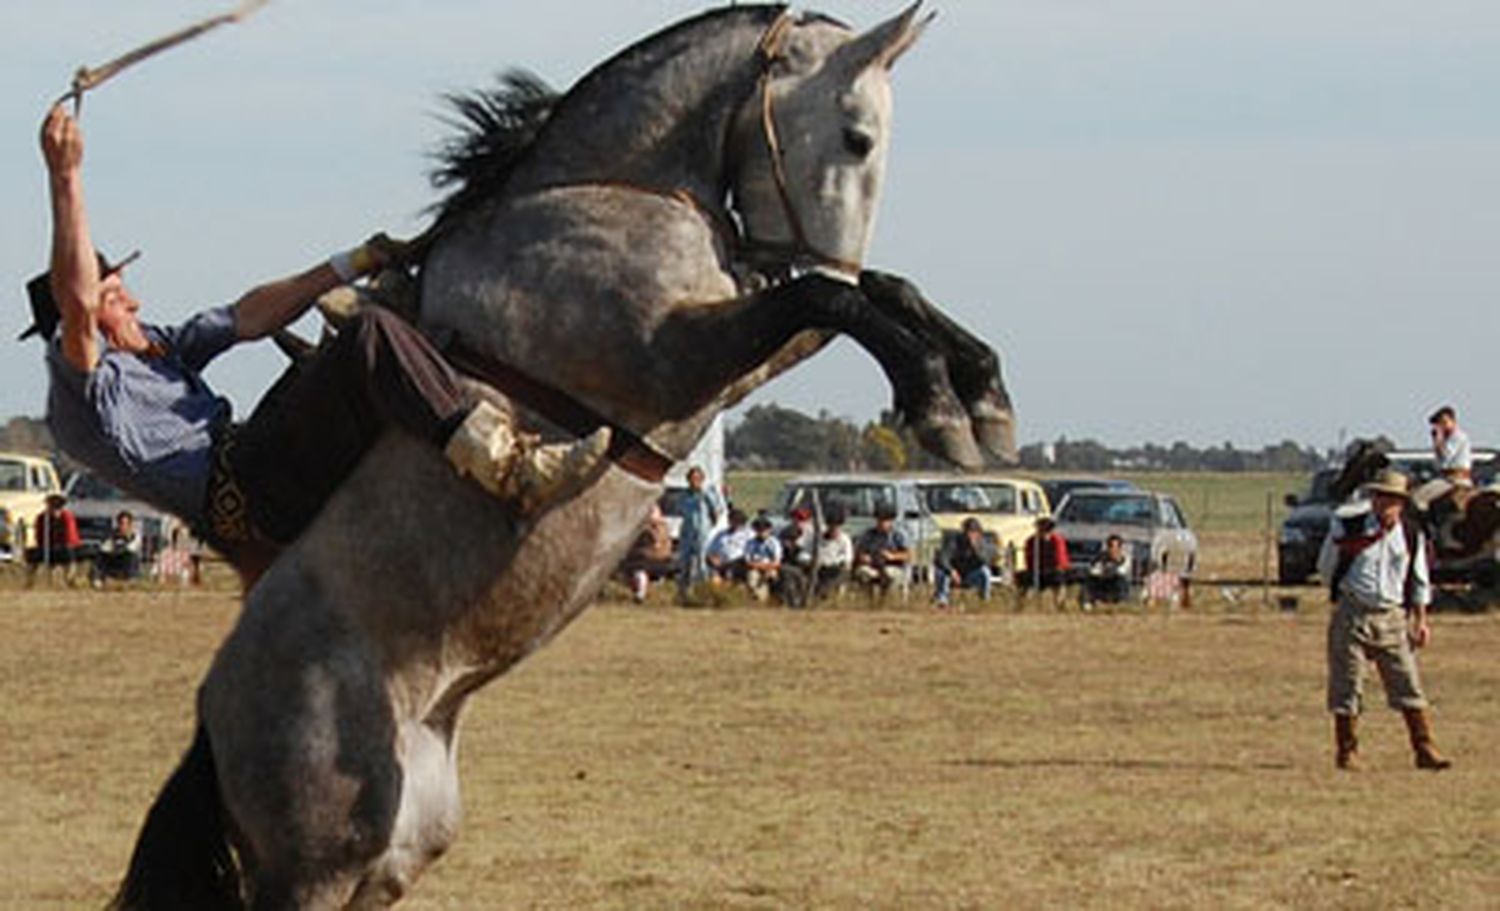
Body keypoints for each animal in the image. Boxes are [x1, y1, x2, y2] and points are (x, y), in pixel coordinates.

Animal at [111, 5, 1014, 906]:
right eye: (857, 137)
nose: (828, 251)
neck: (610, 191)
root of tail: (212, 711)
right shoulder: (676, 355)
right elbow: (826, 300)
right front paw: (941, 406)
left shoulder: (734, 352)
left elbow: (871, 293)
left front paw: (983, 396)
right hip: (316, 861)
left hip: (391, 854)